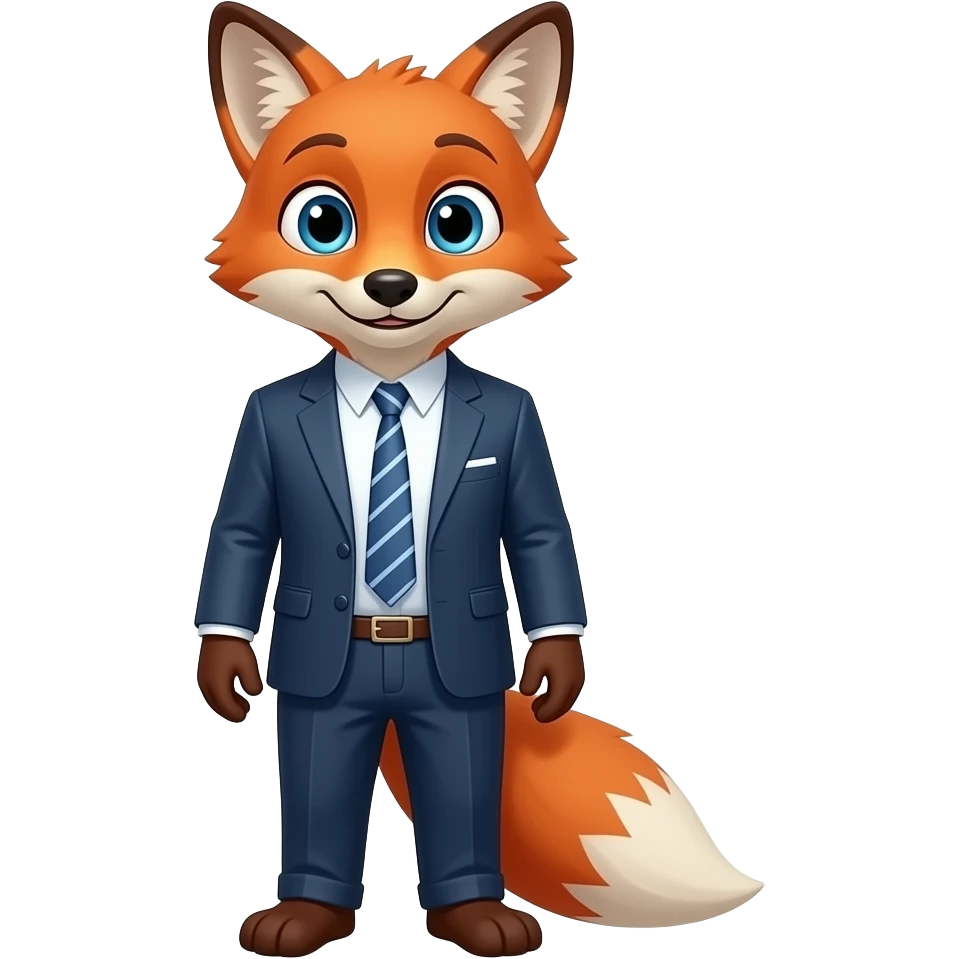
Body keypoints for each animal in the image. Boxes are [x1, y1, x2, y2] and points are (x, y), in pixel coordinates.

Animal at [199, 2, 764, 956]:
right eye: (323, 221)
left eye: (455, 221)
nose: (391, 285)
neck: (389, 378)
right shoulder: (257, 444)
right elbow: (240, 539)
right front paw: (223, 667)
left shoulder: (525, 444)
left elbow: (539, 541)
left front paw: (556, 670)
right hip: (326, 690)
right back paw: (307, 913)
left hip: (455, 689)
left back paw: (477, 915)